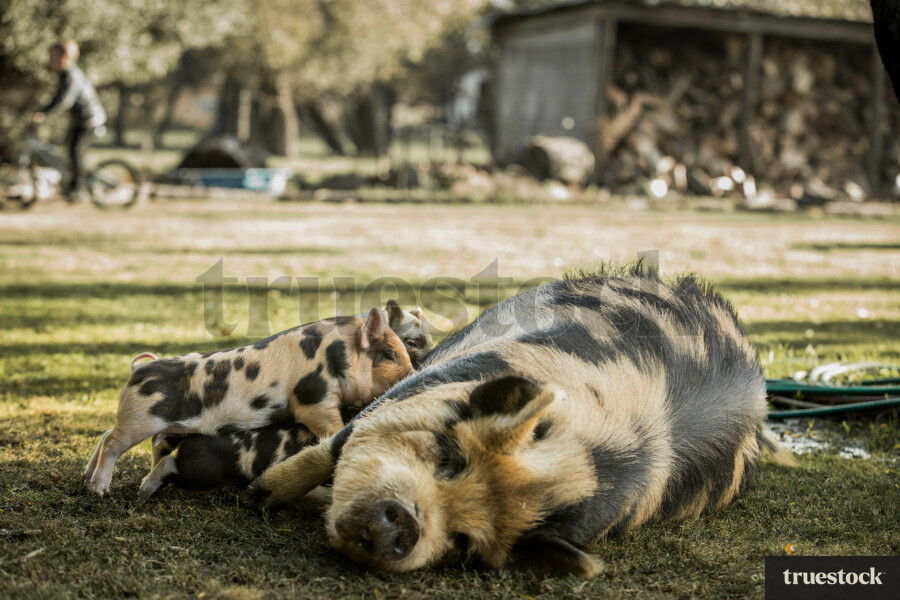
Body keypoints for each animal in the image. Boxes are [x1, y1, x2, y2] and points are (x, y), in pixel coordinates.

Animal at [84, 307, 413, 497]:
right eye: (388, 354)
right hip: (140, 418)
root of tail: (138, 370)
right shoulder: (313, 399)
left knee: (109, 436)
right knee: (112, 442)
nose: (412, 373)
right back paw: (99, 491)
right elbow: (330, 427)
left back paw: (87, 479)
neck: (338, 354)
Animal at [250, 267, 792, 576]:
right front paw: (263, 494)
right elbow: (336, 443)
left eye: (464, 546)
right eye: (449, 455)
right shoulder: (435, 378)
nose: (406, 525)